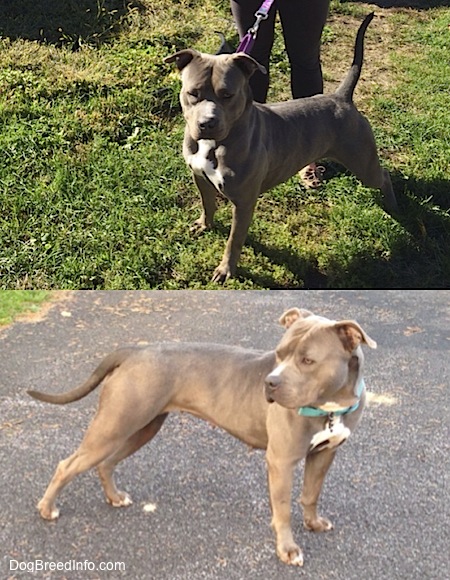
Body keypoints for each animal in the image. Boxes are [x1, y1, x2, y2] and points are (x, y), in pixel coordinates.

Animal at [28, 308, 376, 568]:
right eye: (279, 354)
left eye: (307, 360)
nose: (270, 382)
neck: (331, 404)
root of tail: (134, 350)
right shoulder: (282, 461)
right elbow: (283, 508)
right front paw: (288, 549)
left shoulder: (325, 454)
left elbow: (311, 493)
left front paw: (314, 523)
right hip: (114, 425)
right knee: (68, 464)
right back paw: (47, 508)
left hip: (141, 428)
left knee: (107, 462)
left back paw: (114, 497)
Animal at [164, 14, 398, 284]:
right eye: (193, 93)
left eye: (228, 95)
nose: (207, 123)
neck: (215, 144)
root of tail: (341, 97)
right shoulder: (199, 176)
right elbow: (207, 203)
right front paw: (205, 224)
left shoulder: (243, 203)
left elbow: (234, 241)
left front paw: (226, 269)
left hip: (363, 163)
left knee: (383, 176)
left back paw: (393, 205)